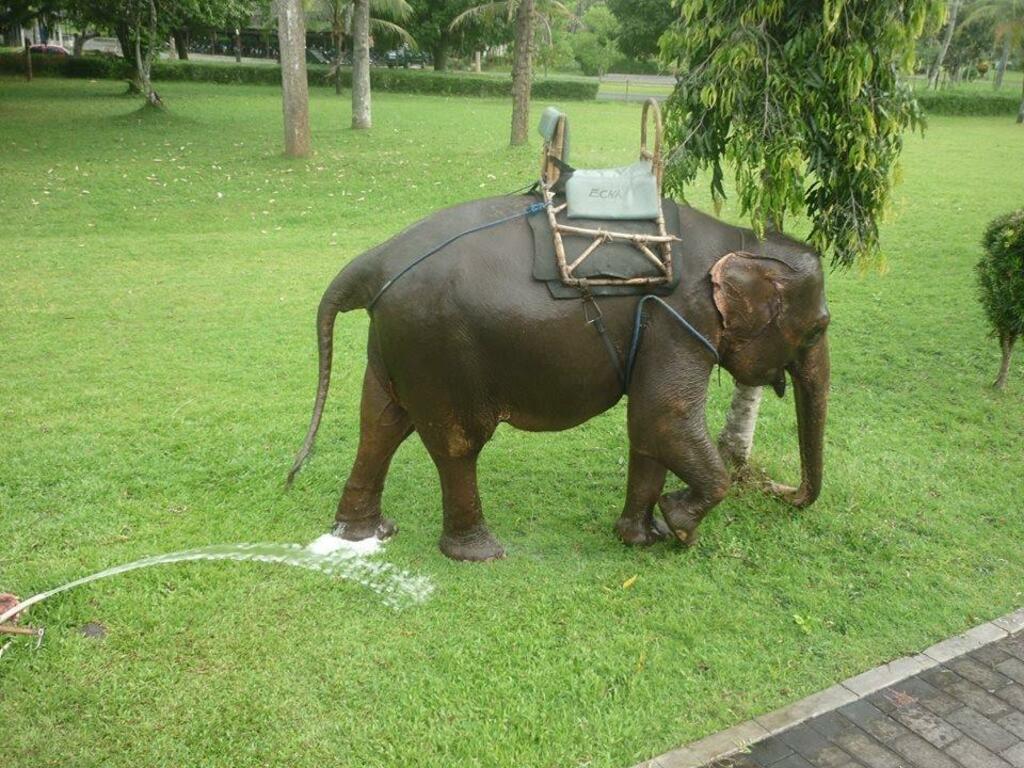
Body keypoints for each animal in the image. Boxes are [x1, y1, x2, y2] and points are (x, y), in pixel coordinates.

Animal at [287, 195, 830, 561]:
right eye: (819, 328)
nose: (785, 495)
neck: (740, 240)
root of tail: (377, 259)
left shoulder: (660, 330)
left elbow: (647, 431)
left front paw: (641, 538)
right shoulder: (678, 319)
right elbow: (664, 419)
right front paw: (679, 527)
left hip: (397, 341)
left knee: (380, 425)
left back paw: (364, 535)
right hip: (438, 345)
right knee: (457, 444)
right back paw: (480, 554)